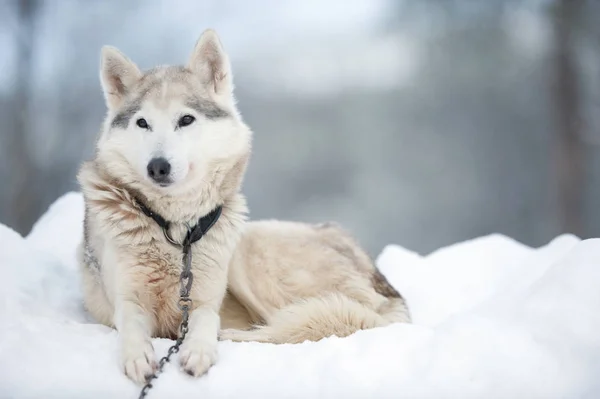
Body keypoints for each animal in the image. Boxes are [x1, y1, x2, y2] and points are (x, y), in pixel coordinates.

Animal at [77, 27, 410, 384]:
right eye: (142, 123)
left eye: (186, 119)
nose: (158, 167)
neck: (177, 230)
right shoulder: (127, 300)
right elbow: (130, 327)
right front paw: (138, 357)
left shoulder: (202, 303)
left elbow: (205, 321)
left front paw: (199, 350)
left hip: (249, 256)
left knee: (313, 322)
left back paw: (237, 335)